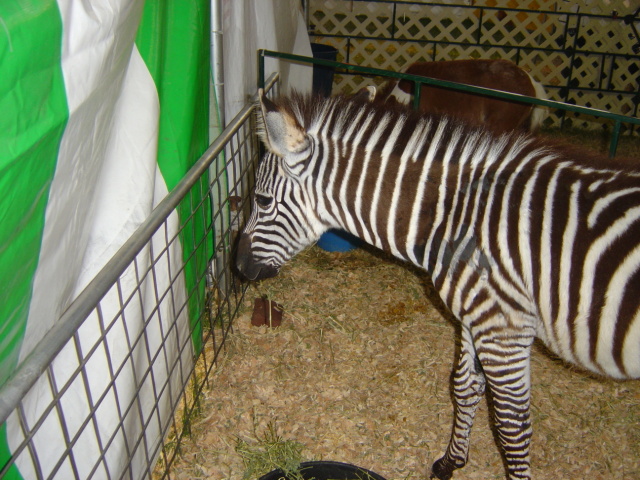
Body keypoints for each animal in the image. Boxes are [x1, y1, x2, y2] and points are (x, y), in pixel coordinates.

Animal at [235, 89, 640, 480]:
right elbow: (464, 385)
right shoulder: (476, 314)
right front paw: (450, 461)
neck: (455, 217)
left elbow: (512, 426)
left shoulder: (504, 327)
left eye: (262, 200)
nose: (238, 265)